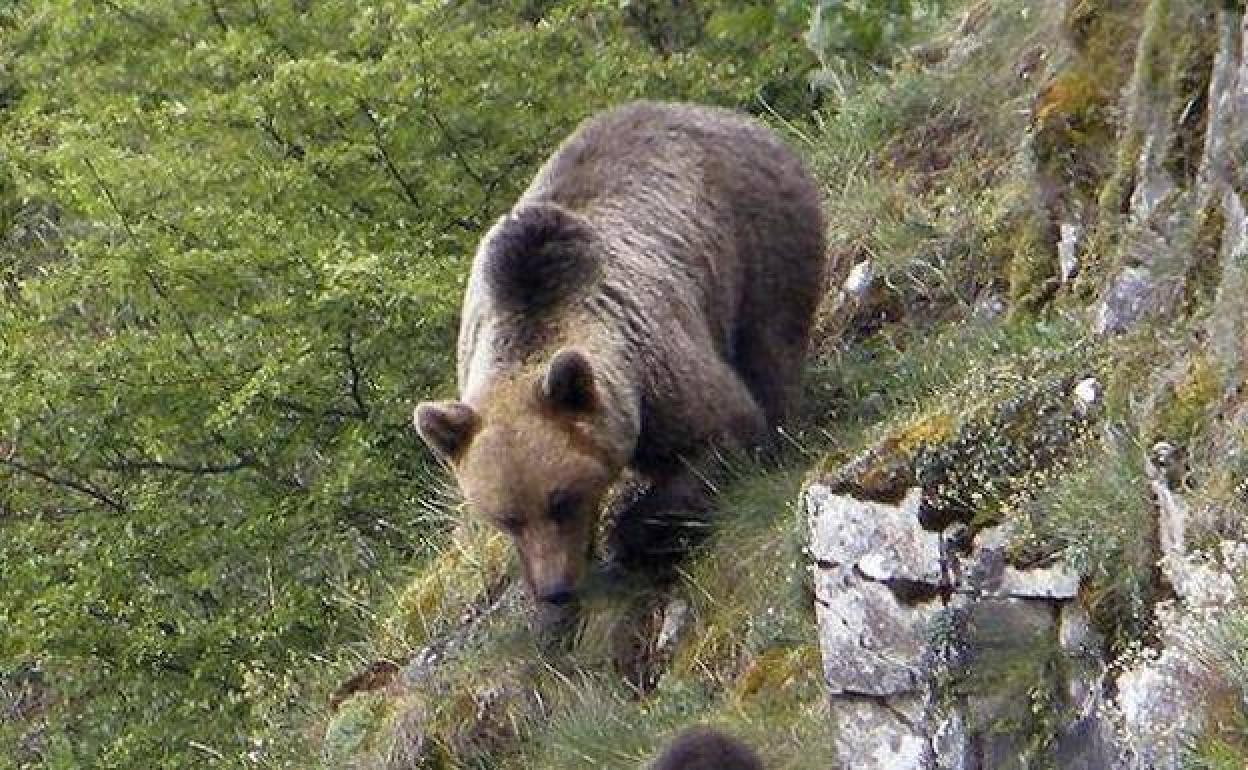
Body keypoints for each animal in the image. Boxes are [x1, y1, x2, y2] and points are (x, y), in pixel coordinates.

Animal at [415, 100, 827, 618]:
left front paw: (630, 537)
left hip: (761, 235)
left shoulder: (656, 373)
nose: (555, 590)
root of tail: (720, 113)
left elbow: (724, 431)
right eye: (507, 517)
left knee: (771, 343)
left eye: (560, 501)